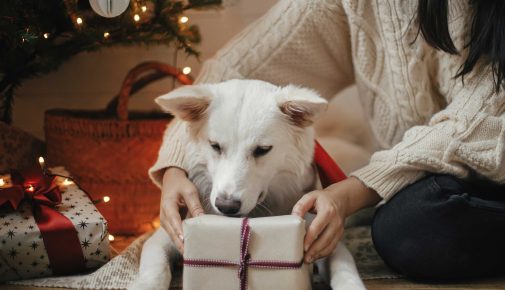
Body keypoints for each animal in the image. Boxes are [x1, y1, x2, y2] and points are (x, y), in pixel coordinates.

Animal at [130, 79, 364, 290]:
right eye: (215, 146)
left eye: (262, 150)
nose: (226, 206)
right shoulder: (167, 235)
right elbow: (155, 269)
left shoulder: (324, 236)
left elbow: (344, 270)